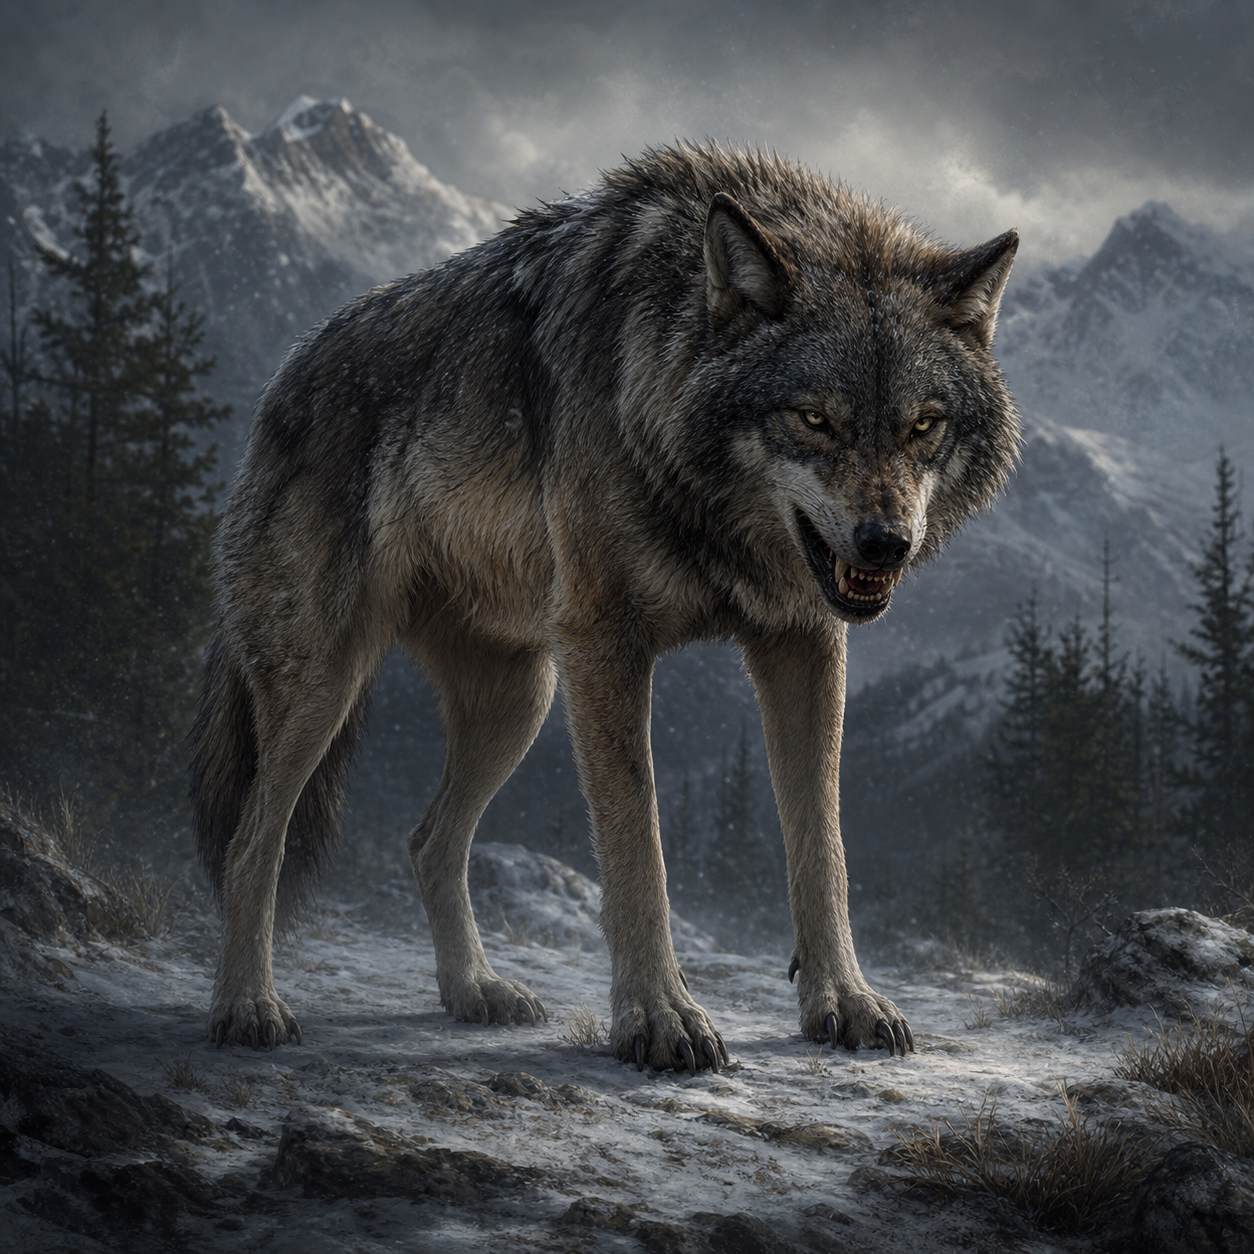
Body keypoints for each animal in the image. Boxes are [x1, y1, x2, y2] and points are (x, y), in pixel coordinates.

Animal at [190, 142, 1019, 1071]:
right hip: (327, 686)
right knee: (253, 841)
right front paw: (660, 1018)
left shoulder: (803, 644)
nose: (887, 544)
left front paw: (844, 1003)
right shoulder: (606, 646)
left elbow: (824, 847)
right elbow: (638, 848)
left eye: (923, 426)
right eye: (814, 419)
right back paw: (247, 1007)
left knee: (428, 840)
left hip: (518, 703)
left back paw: (473, 991)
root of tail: (284, 375)